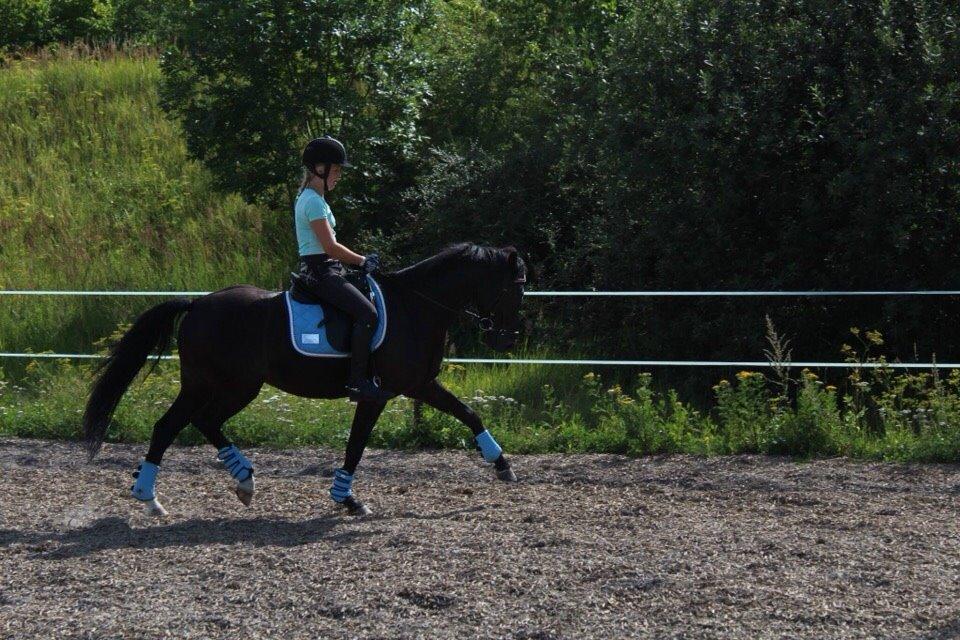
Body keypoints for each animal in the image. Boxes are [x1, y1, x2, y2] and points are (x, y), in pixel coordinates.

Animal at [82, 243, 527, 517]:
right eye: (514, 290)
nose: (507, 340)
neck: (415, 307)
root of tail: (197, 304)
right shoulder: (385, 392)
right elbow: (357, 445)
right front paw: (348, 500)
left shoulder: (416, 386)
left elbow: (468, 414)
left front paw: (502, 466)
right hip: (219, 385)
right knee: (171, 426)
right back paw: (150, 498)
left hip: (229, 386)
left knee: (201, 422)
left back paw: (242, 481)